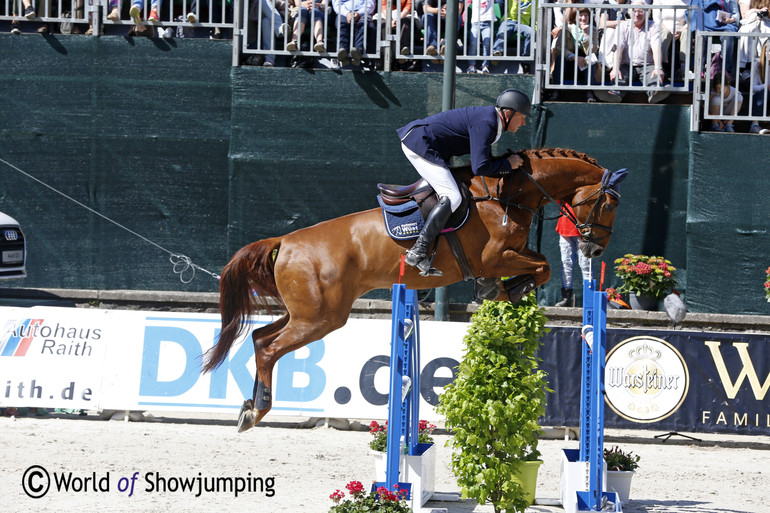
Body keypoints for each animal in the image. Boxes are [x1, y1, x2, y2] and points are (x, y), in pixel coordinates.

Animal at [202, 146, 624, 430]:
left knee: (260, 338)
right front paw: (508, 290)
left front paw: (499, 291)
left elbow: (541, 264)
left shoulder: (509, 254)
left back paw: (248, 406)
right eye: (610, 204)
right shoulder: (496, 256)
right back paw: (257, 411)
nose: (594, 249)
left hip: (305, 313)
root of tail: (285, 242)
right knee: (269, 348)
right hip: (320, 318)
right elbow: (543, 267)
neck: (508, 193)